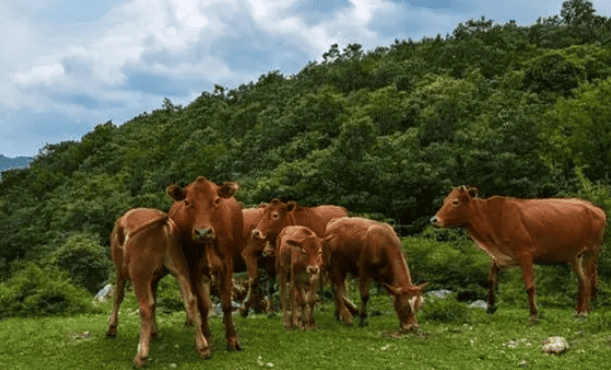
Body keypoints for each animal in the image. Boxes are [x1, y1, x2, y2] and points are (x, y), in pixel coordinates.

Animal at [106, 208, 209, 368]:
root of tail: (162, 219)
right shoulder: (154, 278)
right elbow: (154, 301)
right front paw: (154, 333)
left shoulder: (120, 272)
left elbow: (118, 296)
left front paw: (112, 328)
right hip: (179, 266)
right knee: (190, 300)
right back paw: (203, 347)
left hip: (139, 273)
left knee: (145, 306)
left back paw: (141, 356)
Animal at [169, 178, 245, 352]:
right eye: (187, 202)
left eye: (216, 201)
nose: (203, 232)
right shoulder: (195, 269)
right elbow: (203, 304)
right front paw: (207, 338)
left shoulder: (227, 265)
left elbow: (226, 302)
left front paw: (232, 338)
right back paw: (190, 322)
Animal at [430, 186, 608, 322]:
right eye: (444, 201)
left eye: (455, 202)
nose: (434, 220)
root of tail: (596, 208)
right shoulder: (503, 257)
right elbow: (491, 279)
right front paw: (490, 307)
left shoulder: (525, 253)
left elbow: (529, 284)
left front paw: (534, 314)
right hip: (574, 256)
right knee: (582, 280)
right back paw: (578, 310)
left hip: (592, 251)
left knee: (589, 279)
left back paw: (584, 311)